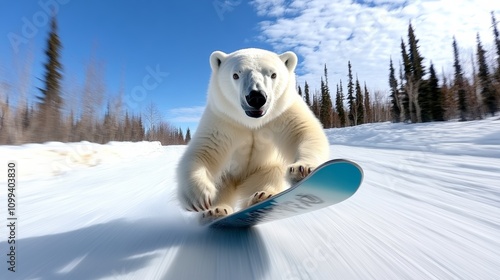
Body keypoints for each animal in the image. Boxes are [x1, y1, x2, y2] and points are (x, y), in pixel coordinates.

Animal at [176, 48, 328, 220]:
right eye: (236, 75)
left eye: (273, 74)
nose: (256, 97)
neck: (252, 122)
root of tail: (239, 182)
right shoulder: (223, 120)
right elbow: (203, 152)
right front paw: (199, 196)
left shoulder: (282, 113)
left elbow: (304, 133)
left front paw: (302, 169)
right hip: (226, 176)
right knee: (221, 185)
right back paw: (216, 211)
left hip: (263, 170)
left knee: (269, 177)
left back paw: (261, 197)